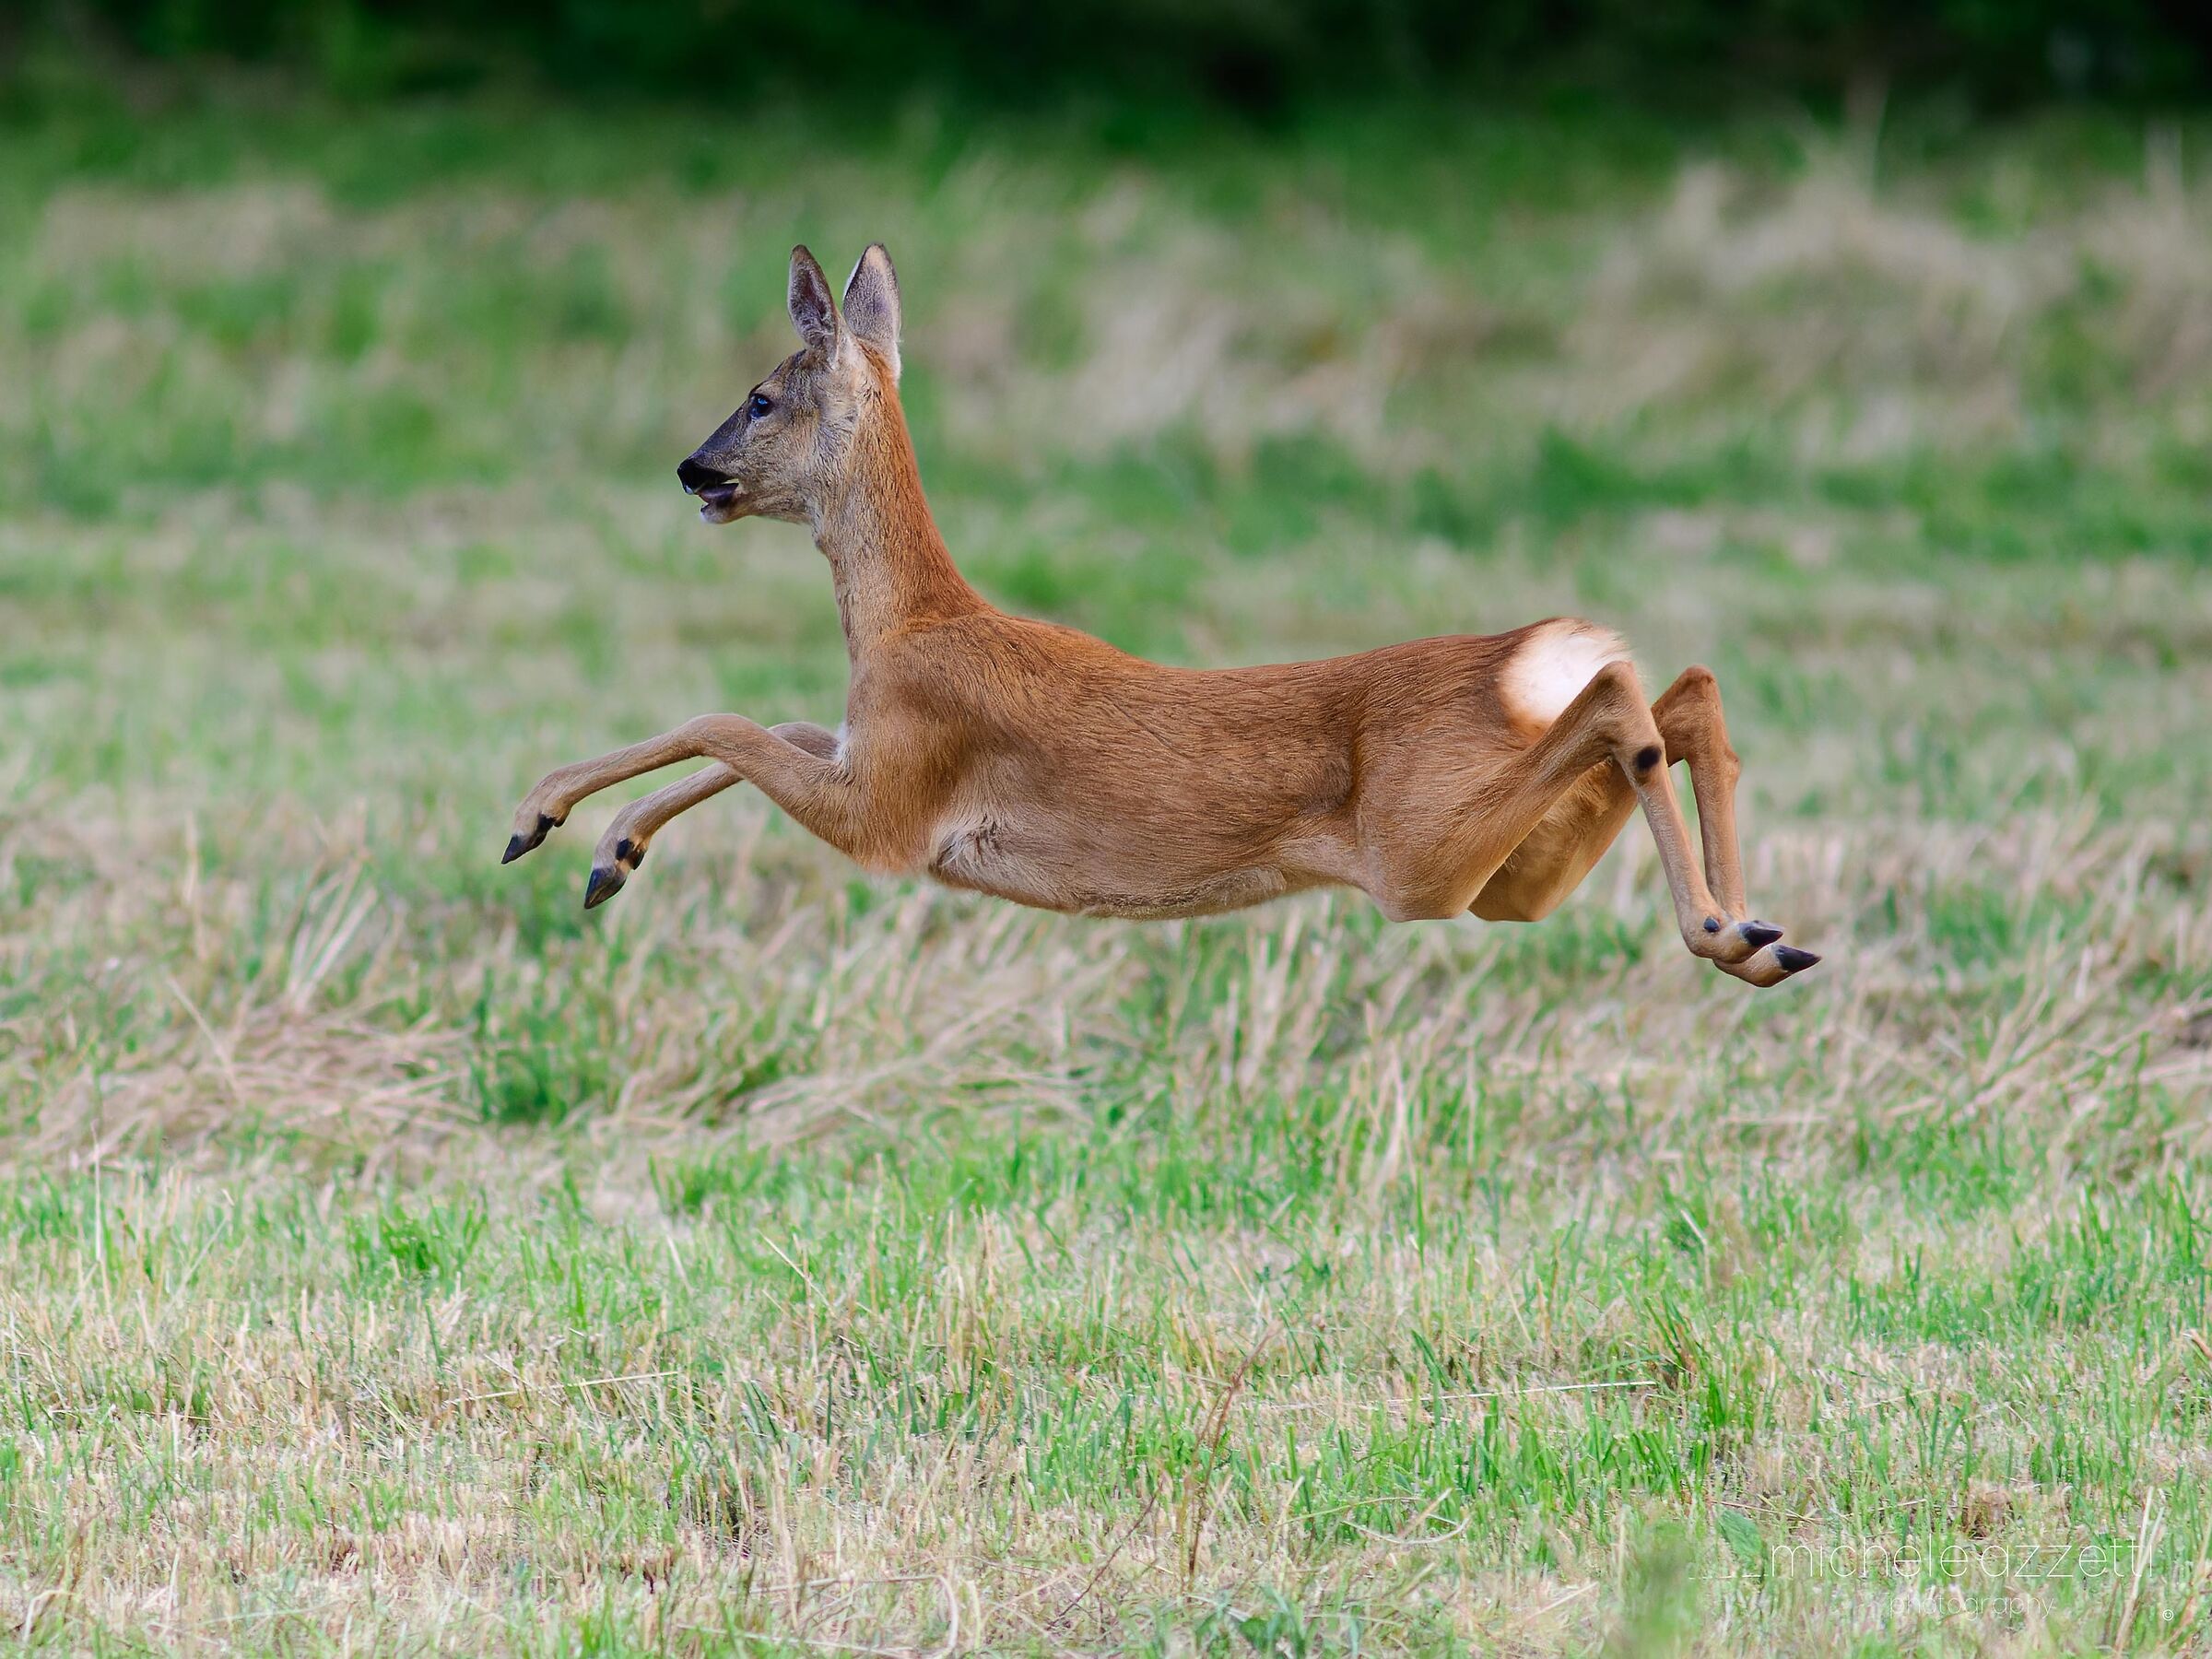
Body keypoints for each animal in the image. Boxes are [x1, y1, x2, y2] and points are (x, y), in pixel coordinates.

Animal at [502, 245, 1820, 988]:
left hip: (1421, 853)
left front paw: (543, 817)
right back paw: (1761, 936)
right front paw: (608, 855)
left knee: (1627, 698)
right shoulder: (869, 754)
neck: (903, 626)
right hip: (1508, 876)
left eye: (762, 396)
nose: (691, 470)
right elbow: (768, 719)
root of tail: (1530, 659)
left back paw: (1733, 930)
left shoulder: (896, 812)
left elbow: (727, 716)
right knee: (1682, 693)